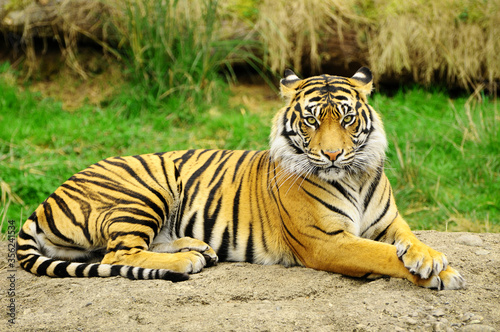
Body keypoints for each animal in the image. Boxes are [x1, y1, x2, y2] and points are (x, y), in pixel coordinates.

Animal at [16, 68, 464, 290]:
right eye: (312, 120)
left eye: (347, 118)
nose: (333, 154)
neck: (352, 176)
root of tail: (46, 199)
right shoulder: (326, 241)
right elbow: (381, 255)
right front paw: (440, 274)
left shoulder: (390, 222)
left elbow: (409, 241)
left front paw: (430, 259)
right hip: (144, 190)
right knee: (116, 254)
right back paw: (186, 260)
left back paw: (198, 248)